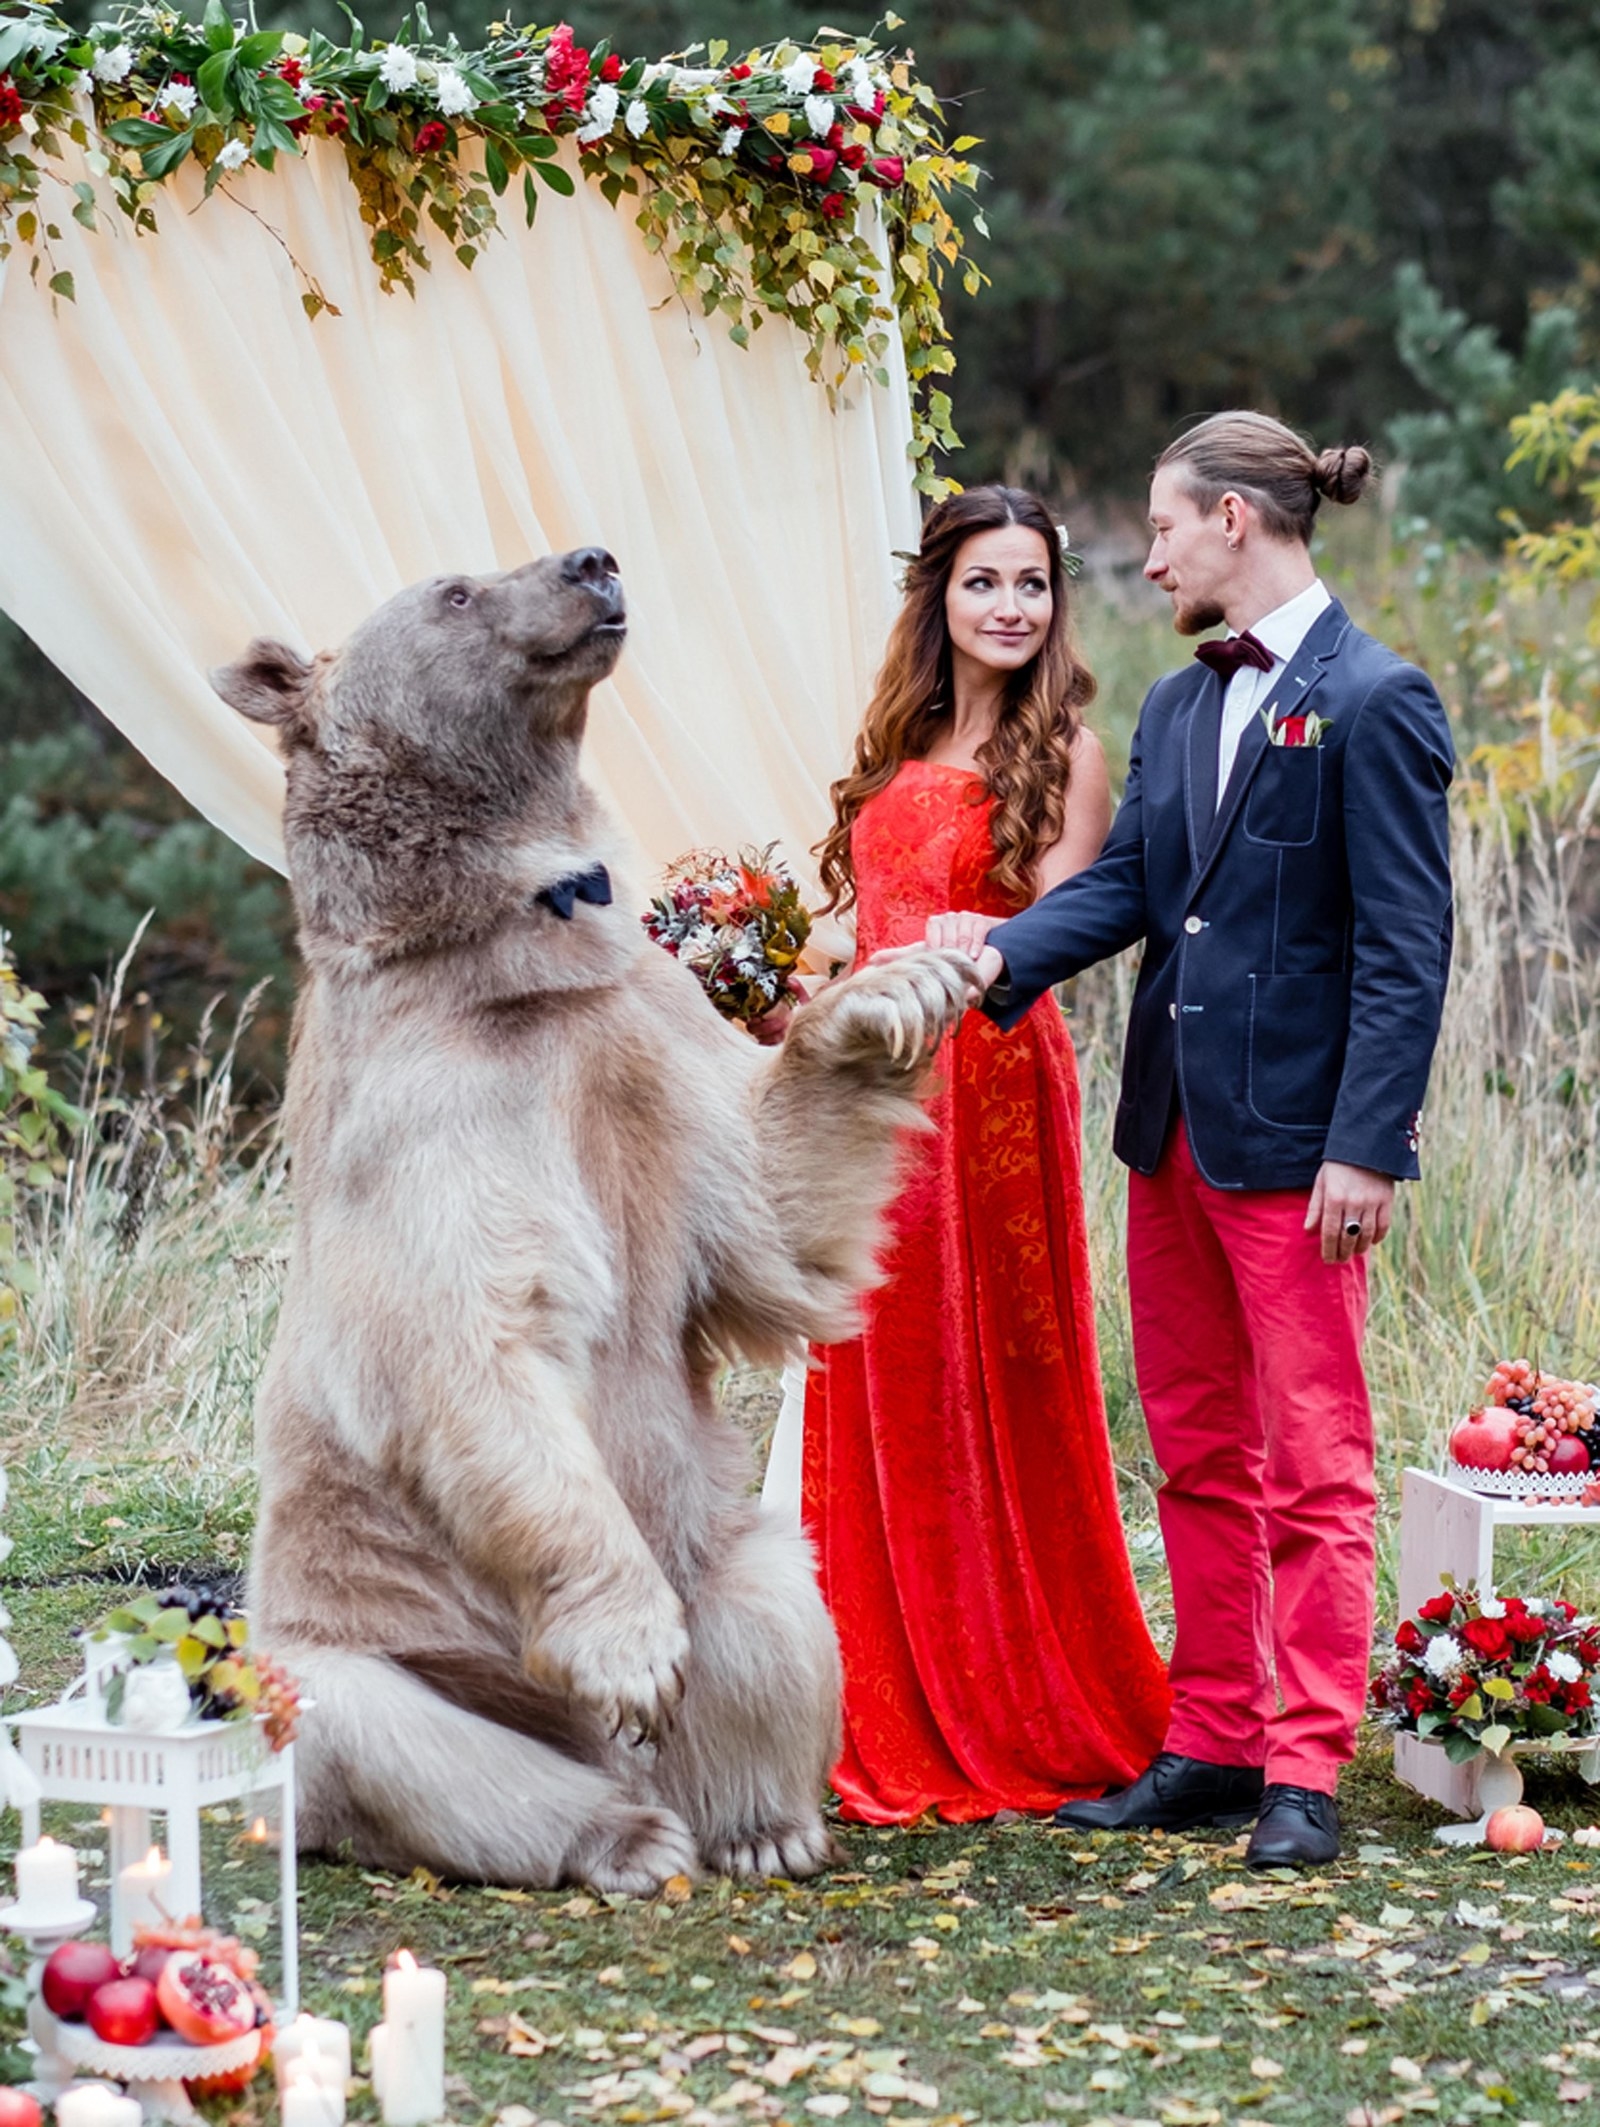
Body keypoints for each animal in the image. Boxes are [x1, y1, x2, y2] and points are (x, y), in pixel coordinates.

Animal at [212, 553, 974, 1897]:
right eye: (457, 590)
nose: (593, 561)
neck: (510, 966)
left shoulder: (639, 1041)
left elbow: (765, 1212)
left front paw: (893, 994)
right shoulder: (432, 1114)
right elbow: (470, 1344)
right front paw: (629, 1652)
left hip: (719, 1548)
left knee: (775, 1602)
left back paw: (763, 1825)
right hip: (375, 1646)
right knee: (396, 1734)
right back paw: (621, 1830)